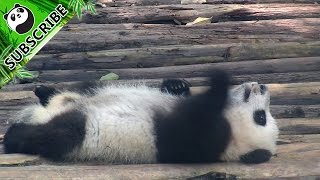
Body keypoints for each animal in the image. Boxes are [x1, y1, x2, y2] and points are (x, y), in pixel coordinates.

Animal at [3, 71, 278, 164]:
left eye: (260, 117)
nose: (262, 87)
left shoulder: (188, 141)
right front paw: (177, 86)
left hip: (84, 132)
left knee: (57, 134)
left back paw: (13, 135)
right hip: (84, 94)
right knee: (81, 90)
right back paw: (44, 91)